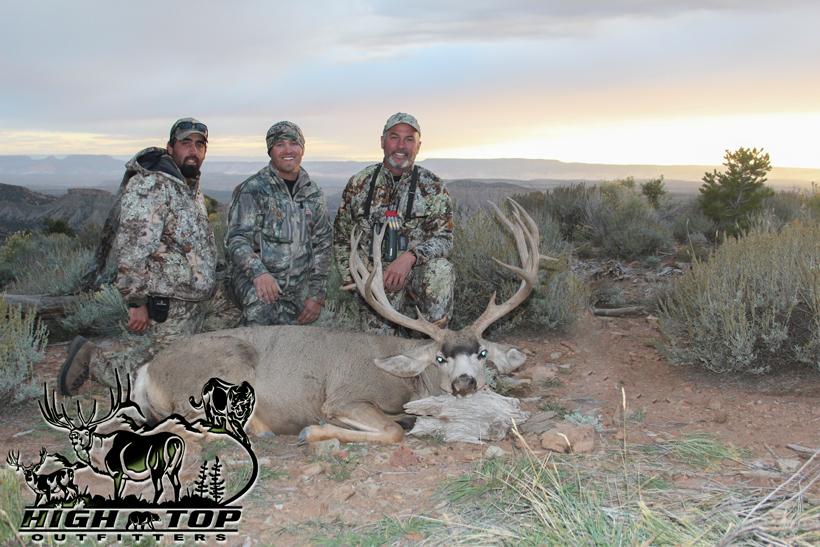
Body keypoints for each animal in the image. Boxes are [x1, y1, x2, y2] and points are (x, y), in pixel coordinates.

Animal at [39, 377, 185, 503]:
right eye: (72, 434)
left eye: (86, 432)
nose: (77, 442)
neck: (102, 454)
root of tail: (176, 442)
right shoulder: (124, 477)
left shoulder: (117, 472)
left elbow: (116, 494)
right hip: (174, 467)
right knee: (177, 485)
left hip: (156, 467)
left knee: (160, 488)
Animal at [133, 199, 553, 444]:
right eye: (439, 357)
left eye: (482, 353)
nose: (465, 383)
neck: (407, 383)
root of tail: (147, 369)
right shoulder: (345, 396)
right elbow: (391, 431)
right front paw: (312, 430)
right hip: (221, 372)